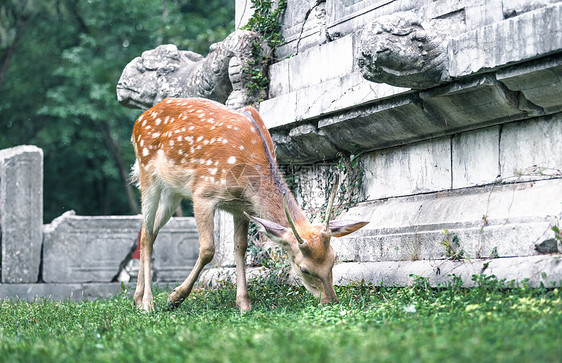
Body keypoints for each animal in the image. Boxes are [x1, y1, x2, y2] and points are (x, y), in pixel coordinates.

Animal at [130, 97, 368, 312]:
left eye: (334, 259)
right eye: (304, 269)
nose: (331, 301)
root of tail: (139, 120)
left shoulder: (241, 208)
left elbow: (240, 248)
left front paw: (244, 304)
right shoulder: (203, 193)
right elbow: (208, 249)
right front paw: (175, 297)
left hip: (173, 192)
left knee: (148, 231)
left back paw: (137, 299)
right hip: (147, 174)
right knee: (147, 232)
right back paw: (148, 303)